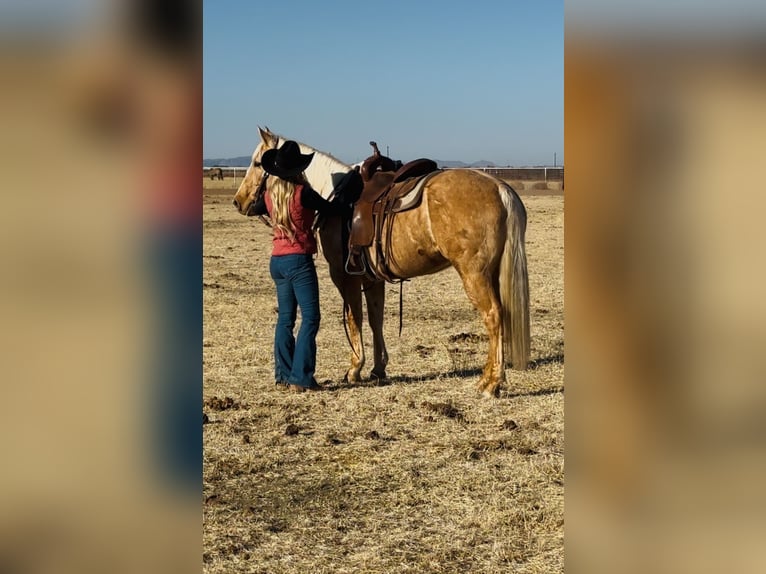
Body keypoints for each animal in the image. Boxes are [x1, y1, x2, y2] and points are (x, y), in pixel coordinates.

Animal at [232, 126, 536, 398]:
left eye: (257, 162)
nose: (238, 201)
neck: (335, 196)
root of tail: (499, 187)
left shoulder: (344, 276)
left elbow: (353, 317)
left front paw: (355, 369)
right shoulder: (372, 278)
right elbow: (375, 319)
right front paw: (378, 369)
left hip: (474, 273)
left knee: (493, 316)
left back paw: (490, 384)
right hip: (492, 272)